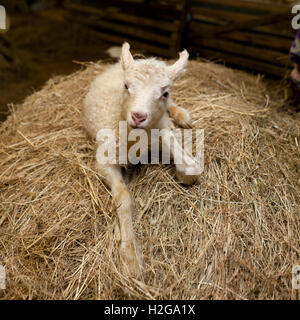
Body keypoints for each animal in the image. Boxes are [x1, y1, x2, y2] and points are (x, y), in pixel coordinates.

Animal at [82, 43, 200, 278]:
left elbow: (188, 165)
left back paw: (181, 114)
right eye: (126, 86)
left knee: (172, 109)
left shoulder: (159, 127)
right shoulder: (104, 162)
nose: (138, 116)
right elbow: (123, 198)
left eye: (164, 92)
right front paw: (130, 256)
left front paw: (184, 165)